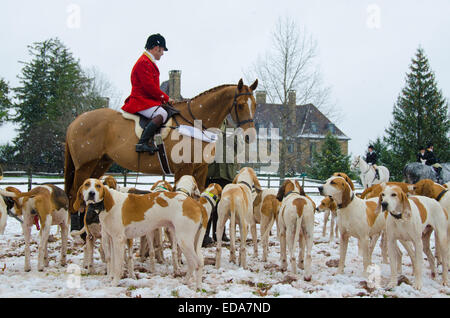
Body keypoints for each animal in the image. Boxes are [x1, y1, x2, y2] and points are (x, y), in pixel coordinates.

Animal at [65, 79, 258, 214]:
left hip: (101, 163)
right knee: (75, 194)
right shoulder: (183, 169)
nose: (250, 136)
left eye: (255, 105)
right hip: (84, 166)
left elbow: (200, 198)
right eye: (241, 105)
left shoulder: (200, 170)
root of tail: (76, 120)